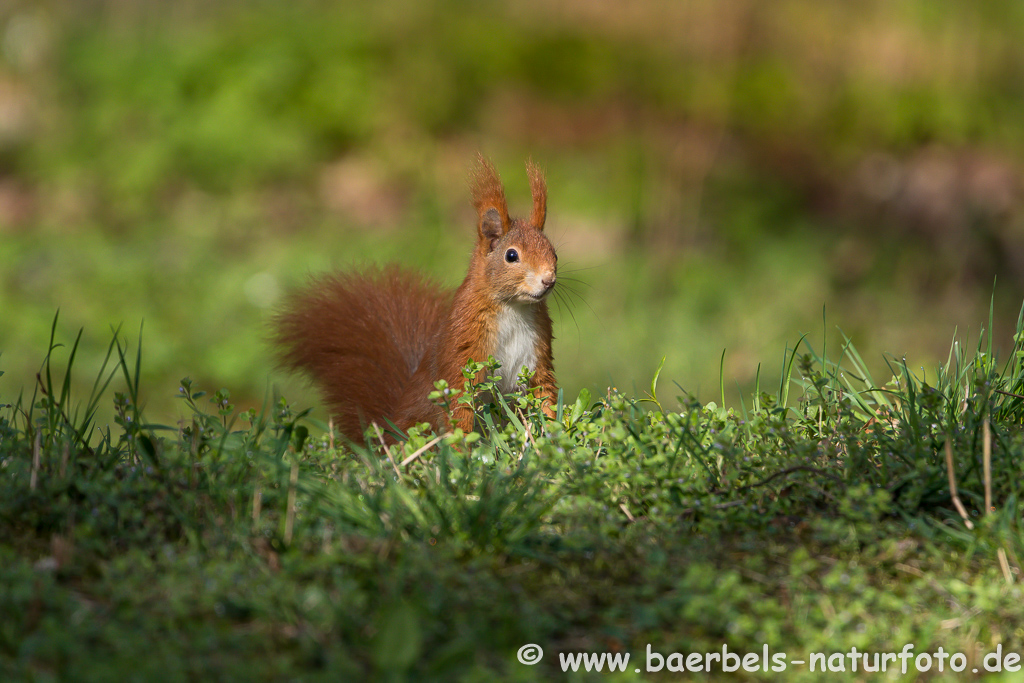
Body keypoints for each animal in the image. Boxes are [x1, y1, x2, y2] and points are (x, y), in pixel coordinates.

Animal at [274, 154, 561, 440]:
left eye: (554, 253)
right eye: (511, 255)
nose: (548, 280)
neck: (514, 308)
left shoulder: (538, 357)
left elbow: (544, 394)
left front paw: (554, 433)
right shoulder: (464, 348)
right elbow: (459, 408)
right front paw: (461, 447)